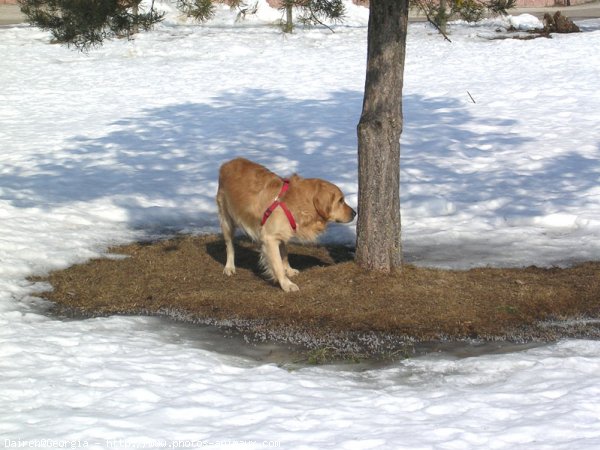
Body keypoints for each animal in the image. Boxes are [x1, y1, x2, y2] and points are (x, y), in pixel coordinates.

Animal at [217, 158, 354, 292]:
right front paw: (286, 284)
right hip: (226, 219)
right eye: (340, 201)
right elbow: (277, 264)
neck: (300, 202)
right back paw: (229, 267)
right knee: (229, 245)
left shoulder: (281, 233)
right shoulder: (270, 238)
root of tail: (226, 163)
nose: (355, 213)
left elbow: (284, 255)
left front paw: (289, 269)